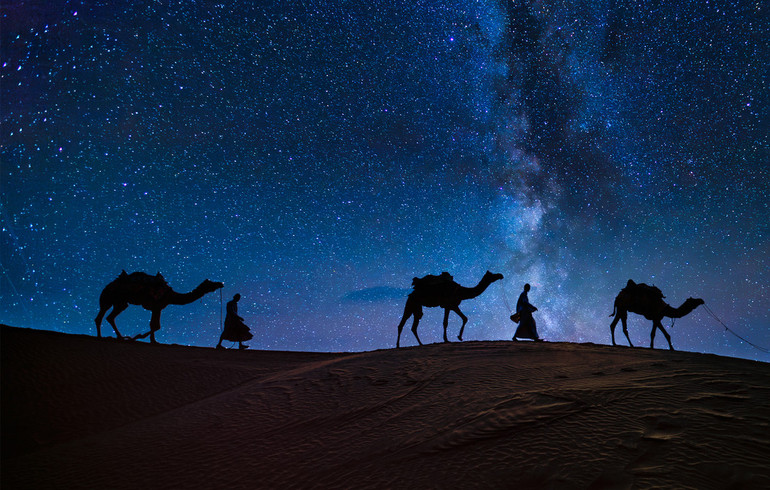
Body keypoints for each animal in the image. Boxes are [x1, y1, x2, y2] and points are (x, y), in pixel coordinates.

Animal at [94, 272, 222, 344]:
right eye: (210, 283)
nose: (221, 283)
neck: (171, 296)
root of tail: (107, 287)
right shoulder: (156, 306)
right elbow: (155, 325)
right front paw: (142, 337)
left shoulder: (158, 308)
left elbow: (155, 325)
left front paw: (152, 340)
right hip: (110, 299)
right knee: (103, 317)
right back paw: (102, 337)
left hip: (119, 302)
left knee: (108, 317)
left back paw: (118, 337)